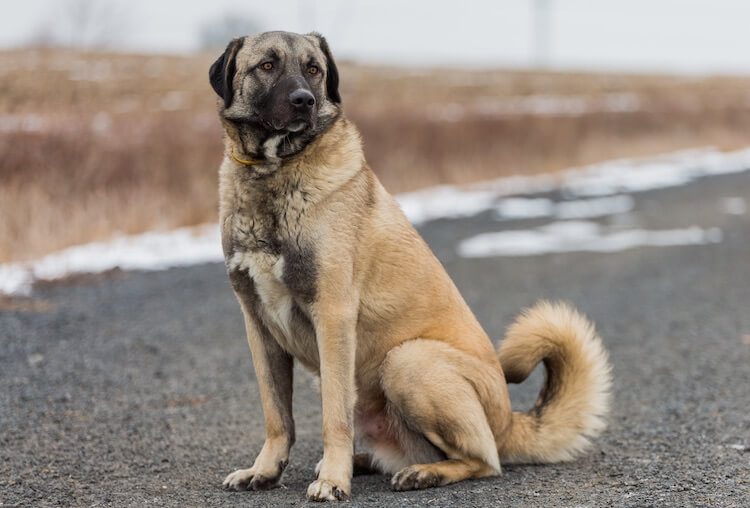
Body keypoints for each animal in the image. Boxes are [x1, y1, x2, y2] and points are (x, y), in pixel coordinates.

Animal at [209, 31, 612, 504]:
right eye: (267, 66)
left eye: (314, 70)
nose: (303, 101)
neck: (274, 173)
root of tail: (509, 421)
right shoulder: (259, 325)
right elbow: (277, 416)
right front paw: (265, 470)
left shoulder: (333, 316)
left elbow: (334, 418)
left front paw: (333, 480)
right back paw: (366, 462)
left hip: (408, 361)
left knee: (485, 460)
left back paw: (420, 473)